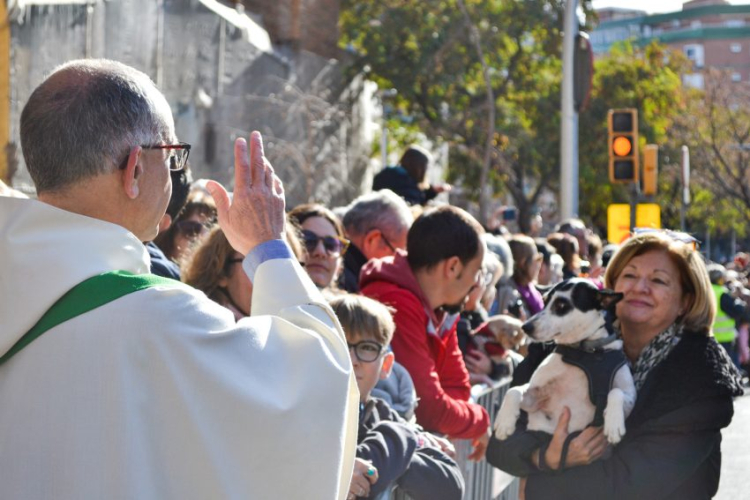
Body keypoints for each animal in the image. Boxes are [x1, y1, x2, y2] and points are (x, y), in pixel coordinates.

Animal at [496, 278, 636, 446]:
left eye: (561, 305)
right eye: (544, 301)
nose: (525, 327)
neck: (585, 351)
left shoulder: (630, 397)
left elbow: (616, 392)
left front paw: (614, 424)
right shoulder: (535, 399)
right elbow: (513, 390)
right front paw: (504, 422)